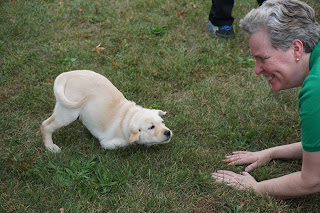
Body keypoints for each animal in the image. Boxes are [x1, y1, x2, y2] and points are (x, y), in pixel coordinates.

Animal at [42, 70, 174, 151]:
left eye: (162, 122)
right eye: (151, 127)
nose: (168, 132)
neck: (128, 116)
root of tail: (66, 75)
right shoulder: (108, 142)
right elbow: (125, 143)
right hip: (68, 111)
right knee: (46, 125)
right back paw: (50, 147)